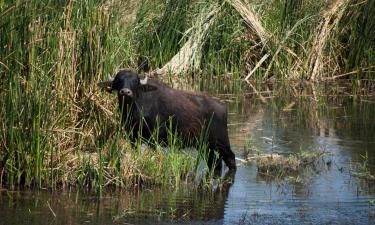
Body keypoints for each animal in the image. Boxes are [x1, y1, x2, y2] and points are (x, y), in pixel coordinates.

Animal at [98, 69, 236, 171]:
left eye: (135, 81)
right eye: (118, 80)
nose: (125, 92)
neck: (135, 109)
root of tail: (222, 108)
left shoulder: (154, 139)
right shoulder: (133, 137)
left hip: (221, 142)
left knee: (230, 159)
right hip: (204, 145)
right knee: (215, 163)